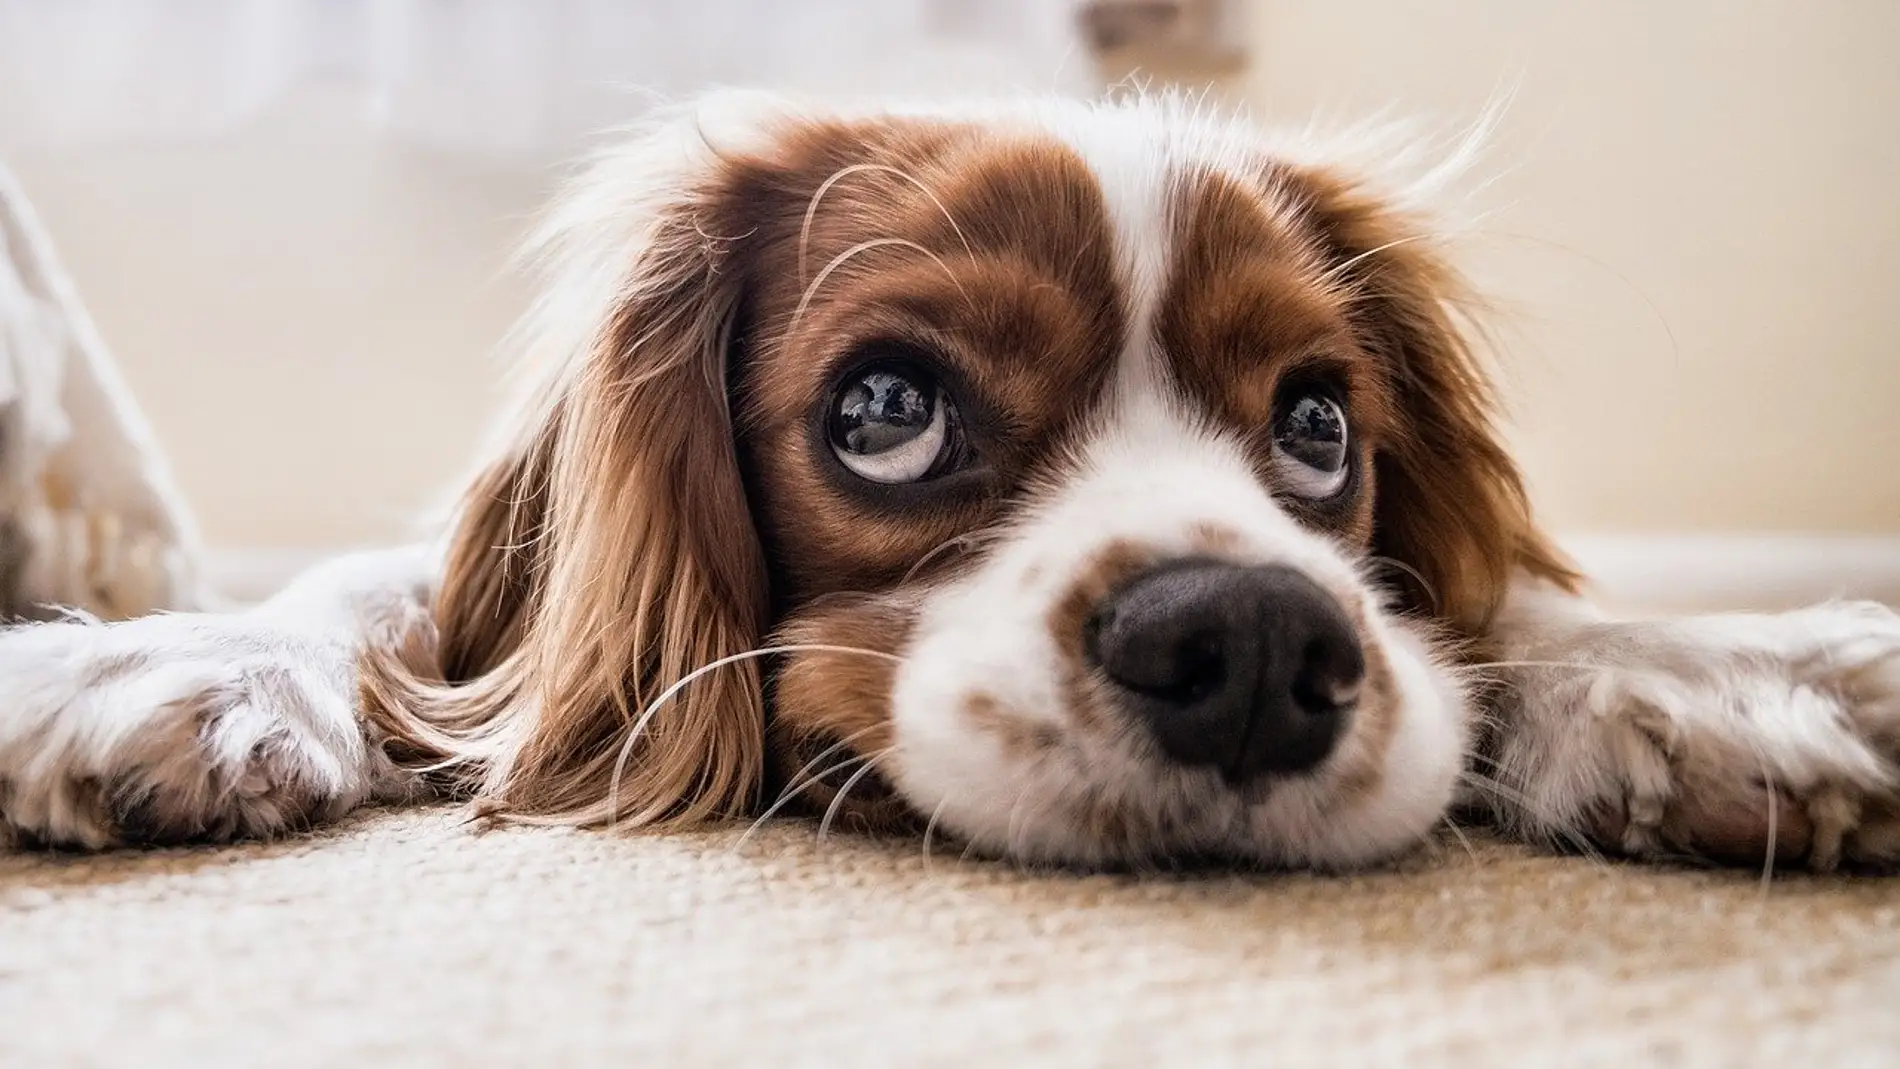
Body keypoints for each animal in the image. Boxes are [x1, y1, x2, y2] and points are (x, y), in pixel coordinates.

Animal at [3, 92, 1900, 873]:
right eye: (887, 408)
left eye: (1318, 428)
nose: (1252, 645)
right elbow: (382, 597)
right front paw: (165, 660)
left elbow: (1505, 611)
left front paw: (1718, 670)